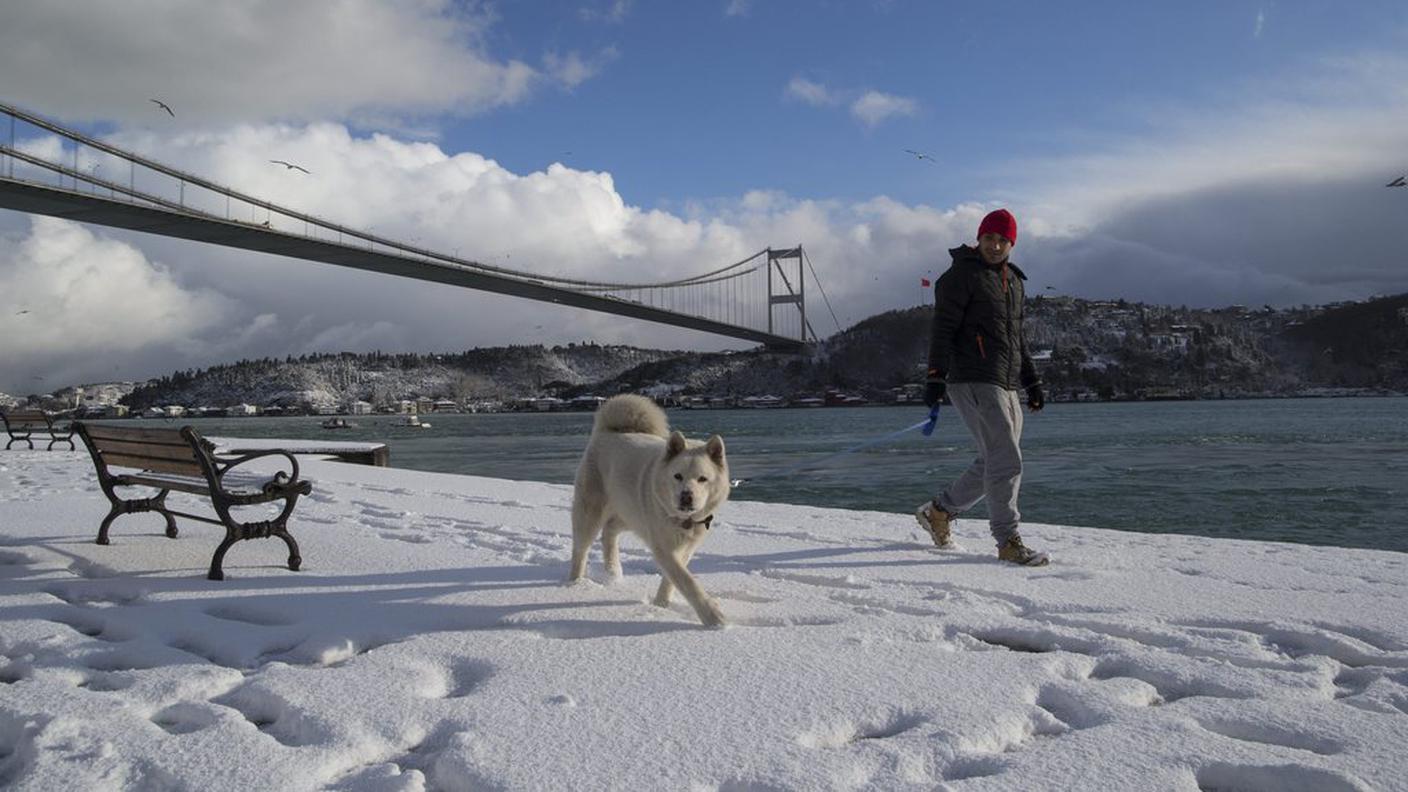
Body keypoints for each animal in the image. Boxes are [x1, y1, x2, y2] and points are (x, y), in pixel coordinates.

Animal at [566, 391, 732, 625]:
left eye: (703, 479)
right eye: (677, 476)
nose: (686, 497)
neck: (683, 521)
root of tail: (606, 431)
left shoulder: (686, 546)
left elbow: (673, 578)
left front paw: (661, 604)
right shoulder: (662, 546)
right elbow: (686, 579)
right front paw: (713, 616)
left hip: (632, 514)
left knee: (609, 530)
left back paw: (613, 573)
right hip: (591, 512)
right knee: (581, 549)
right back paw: (576, 584)